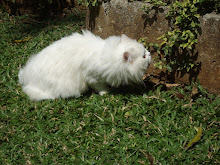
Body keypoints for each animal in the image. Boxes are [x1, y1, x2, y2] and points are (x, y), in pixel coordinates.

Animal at [18, 30, 151, 101]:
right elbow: (100, 88)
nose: (150, 54)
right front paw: (106, 93)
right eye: (144, 56)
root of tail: (25, 75)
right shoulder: (93, 78)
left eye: (145, 51)